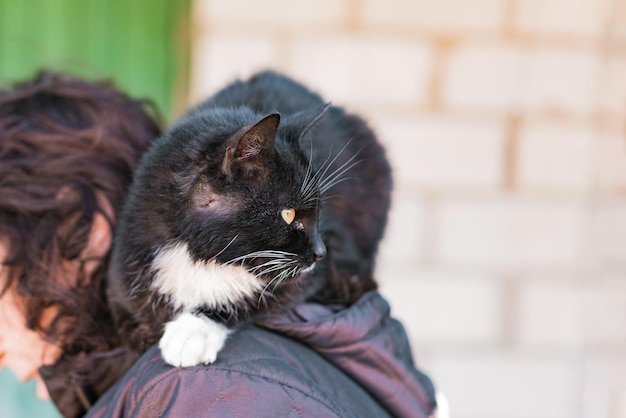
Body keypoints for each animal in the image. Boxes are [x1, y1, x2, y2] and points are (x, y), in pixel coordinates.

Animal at [107, 70, 390, 368]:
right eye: (289, 213)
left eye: (320, 211)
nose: (321, 252)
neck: (203, 258)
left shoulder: (307, 276)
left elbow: (253, 297)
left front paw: (192, 331)